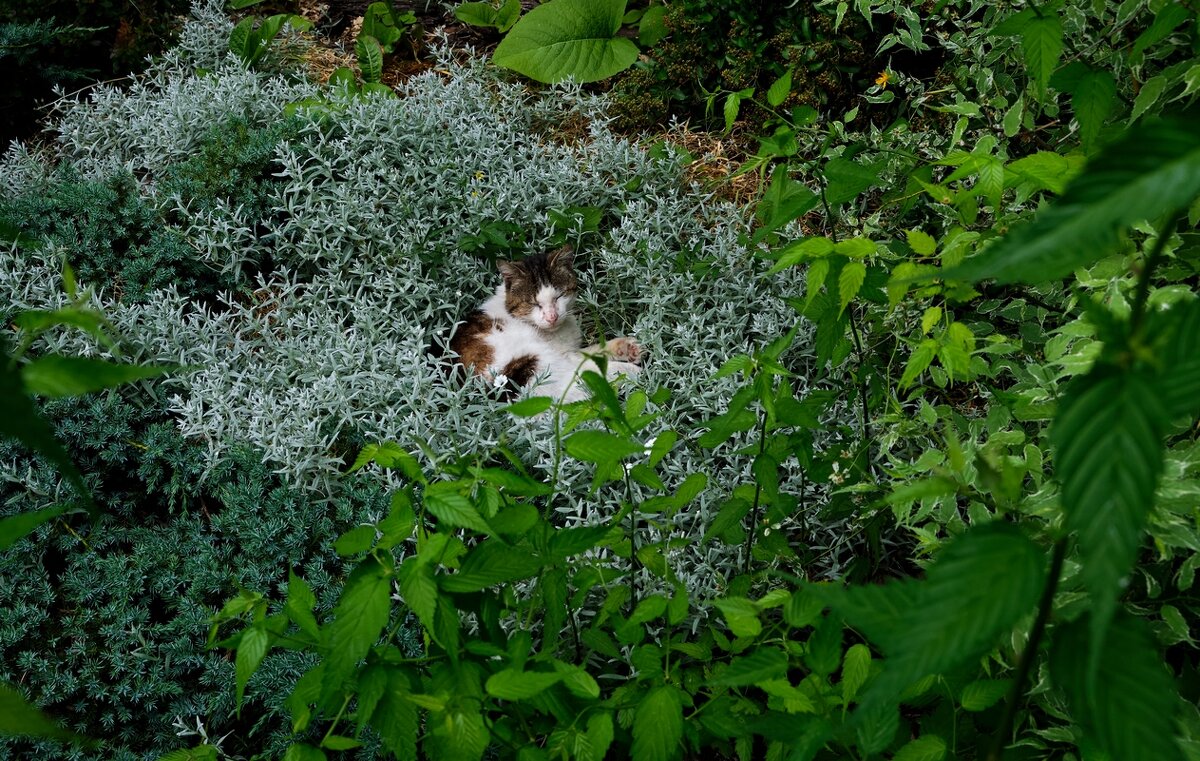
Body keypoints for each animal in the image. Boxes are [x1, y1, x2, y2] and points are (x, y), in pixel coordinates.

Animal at [451, 244, 643, 403]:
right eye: (533, 303)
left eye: (559, 296)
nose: (552, 317)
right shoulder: (562, 355)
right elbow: (590, 361)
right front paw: (626, 360)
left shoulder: (567, 351)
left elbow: (592, 352)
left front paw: (627, 348)